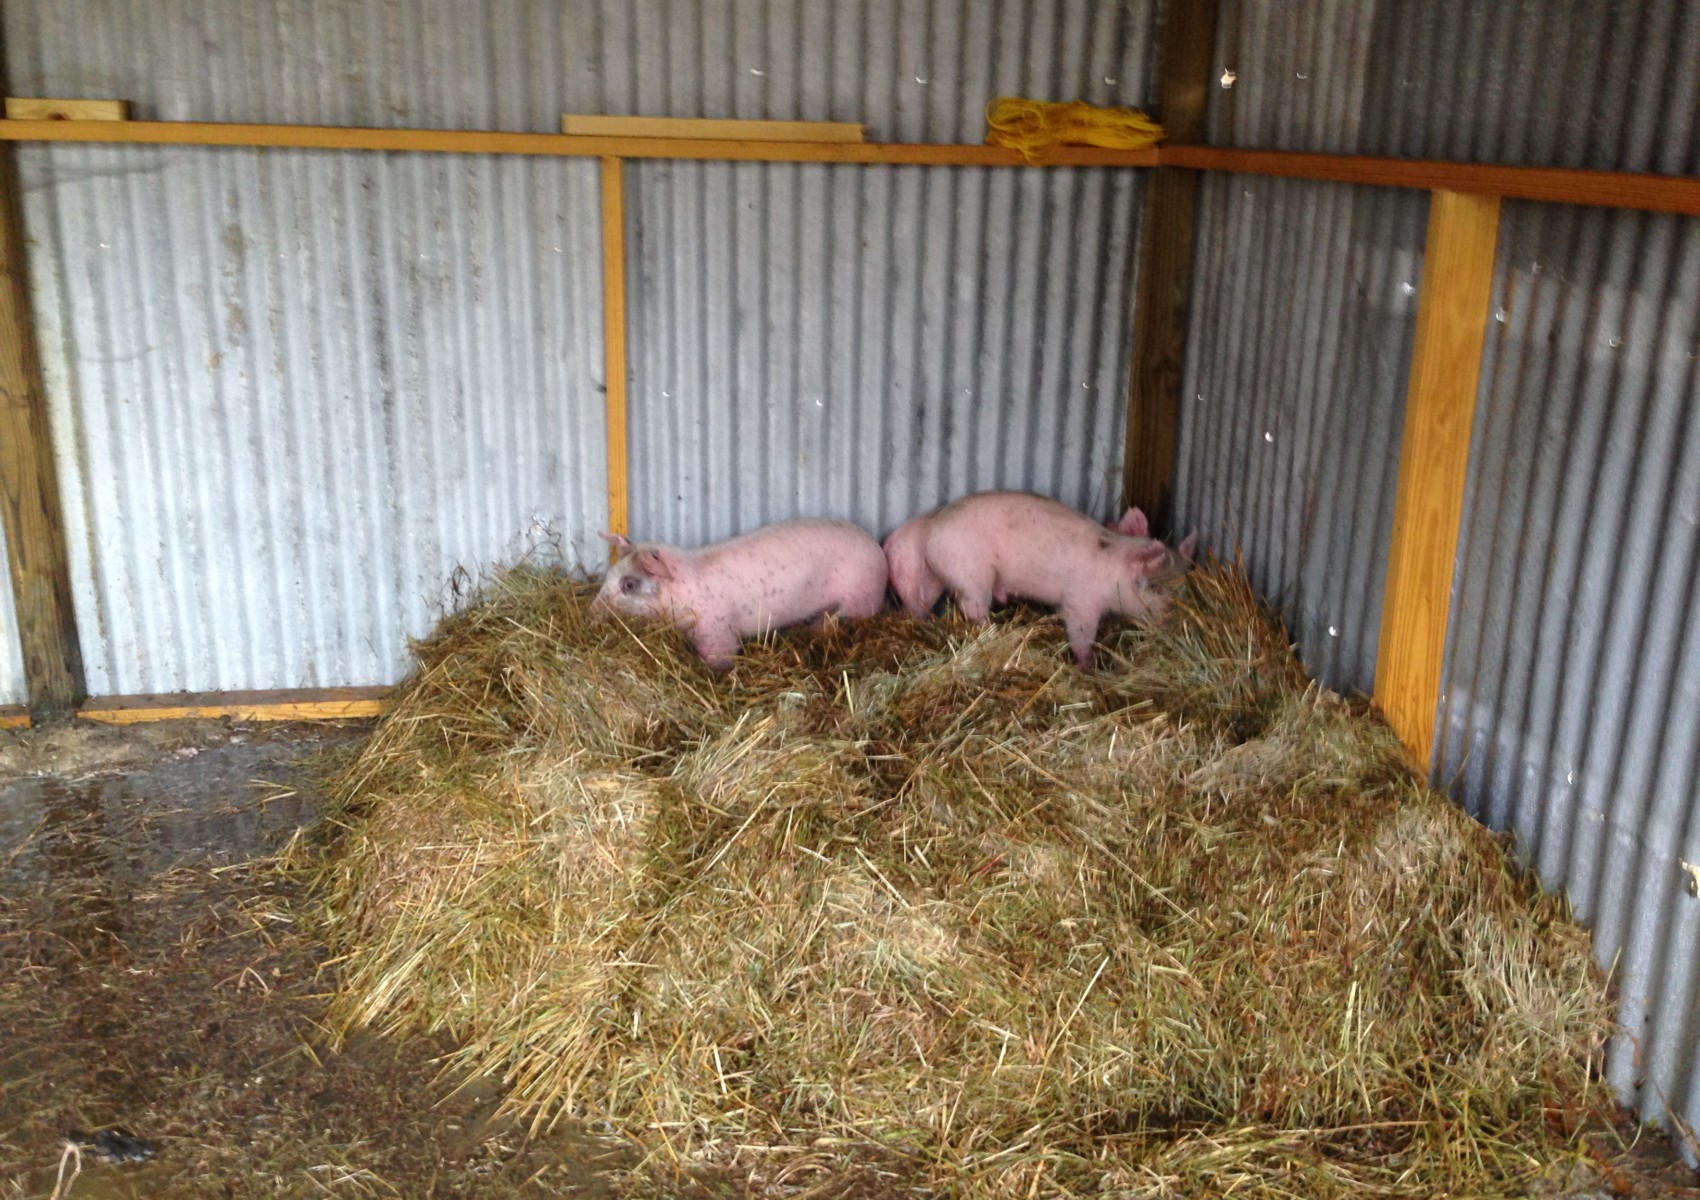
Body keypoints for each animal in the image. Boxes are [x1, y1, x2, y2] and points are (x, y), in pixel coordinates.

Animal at [595, 519, 889, 669]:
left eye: (629, 584)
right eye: (609, 575)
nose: (592, 610)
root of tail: (877, 549)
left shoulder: (717, 633)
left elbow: (721, 658)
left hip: (861, 599)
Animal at [919, 491, 1197, 668]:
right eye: (1158, 588)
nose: (1178, 624)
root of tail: (931, 536)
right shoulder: (1081, 603)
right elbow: (1080, 636)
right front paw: (1087, 667)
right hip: (971, 574)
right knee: (972, 608)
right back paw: (995, 631)